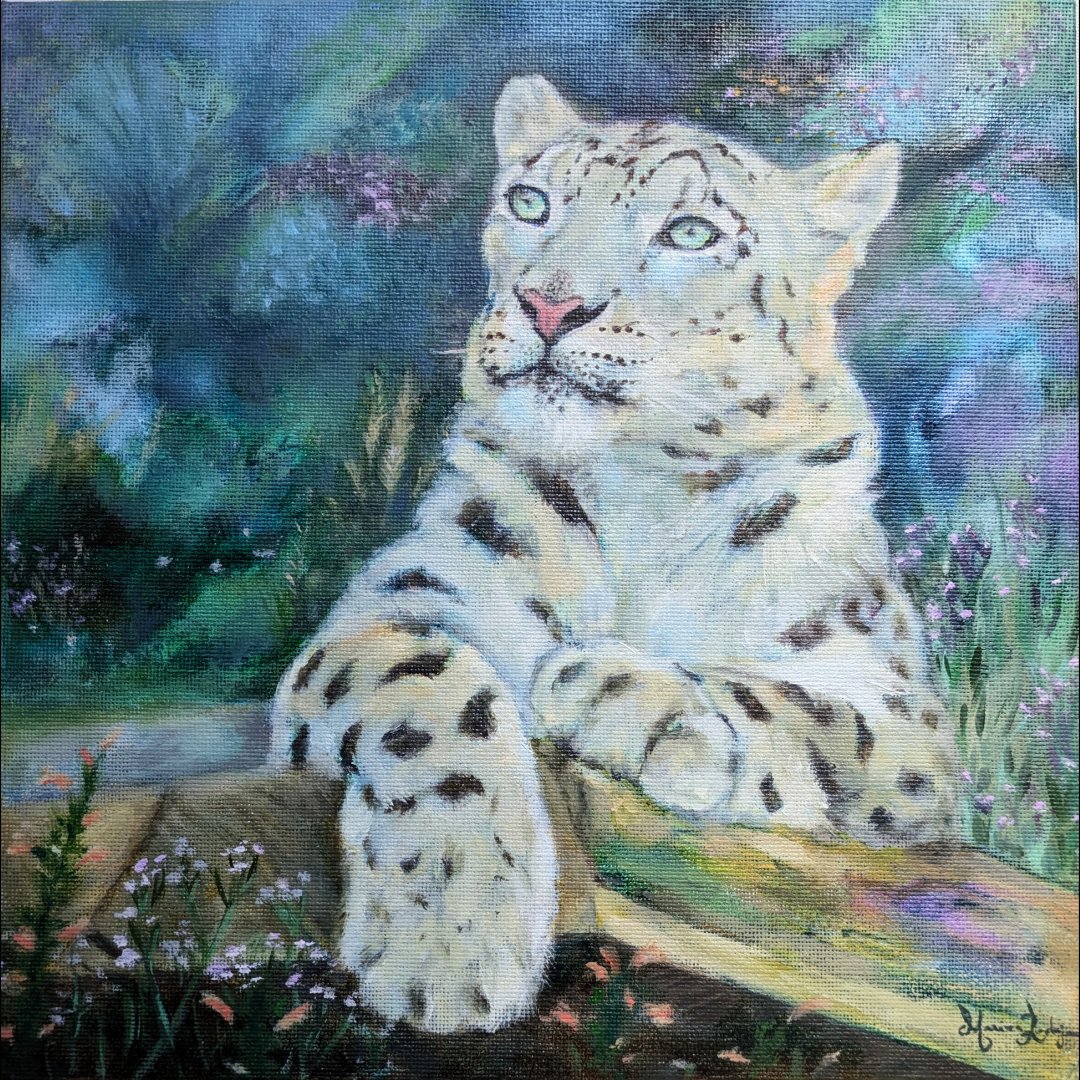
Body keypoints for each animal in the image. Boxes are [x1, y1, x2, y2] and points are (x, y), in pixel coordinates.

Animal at [268, 75, 959, 1035]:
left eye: (691, 232)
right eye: (531, 203)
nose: (549, 305)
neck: (648, 494)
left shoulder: (902, 710)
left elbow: (804, 707)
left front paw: (629, 699)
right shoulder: (399, 602)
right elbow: (433, 692)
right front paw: (449, 943)